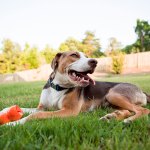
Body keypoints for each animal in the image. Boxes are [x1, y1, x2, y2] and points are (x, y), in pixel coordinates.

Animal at [5, 50, 150, 125]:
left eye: (87, 57)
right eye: (74, 55)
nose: (95, 62)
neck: (57, 87)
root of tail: (141, 91)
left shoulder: (69, 111)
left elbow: (35, 115)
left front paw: (13, 123)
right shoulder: (42, 107)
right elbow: (26, 109)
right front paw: (7, 110)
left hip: (113, 94)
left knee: (143, 110)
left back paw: (128, 120)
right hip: (110, 103)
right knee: (129, 110)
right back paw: (112, 117)